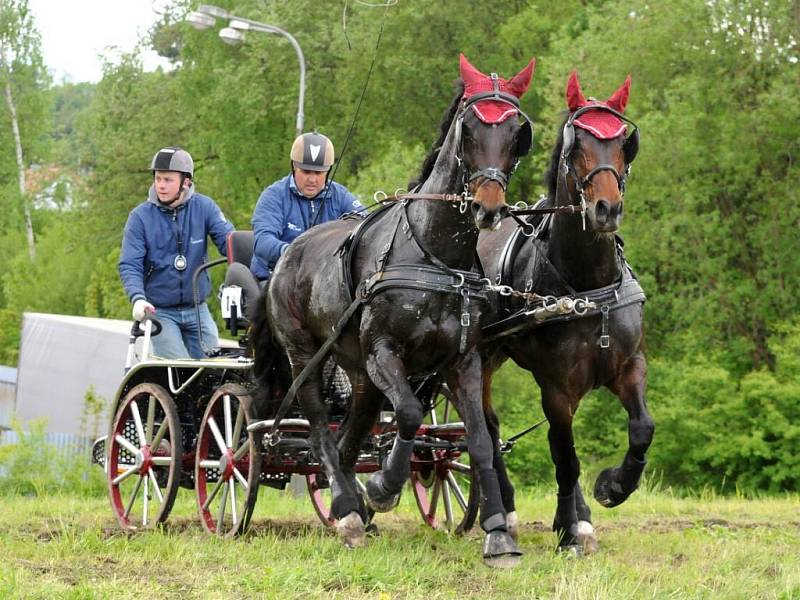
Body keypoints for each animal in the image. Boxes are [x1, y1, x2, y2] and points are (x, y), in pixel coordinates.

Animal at [250, 52, 536, 568]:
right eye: (468, 127)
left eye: (516, 131)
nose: (487, 206)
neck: (434, 253)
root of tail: (286, 255)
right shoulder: (385, 351)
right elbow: (406, 413)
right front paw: (383, 486)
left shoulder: (462, 360)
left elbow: (479, 438)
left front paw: (498, 531)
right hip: (307, 356)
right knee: (320, 427)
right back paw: (348, 509)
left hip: (359, 373)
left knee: (348, 440)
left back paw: (350, 505)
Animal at [478, 72, 652, 556]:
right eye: (577, 144)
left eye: (624, 143)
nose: (606, 209)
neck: (587, 284)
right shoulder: (556, 387)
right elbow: (566, 457)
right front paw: (569, 531)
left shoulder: (629, 366)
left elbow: (641, 429)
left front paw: (611, 488)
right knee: (487, 426)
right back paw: (504, 511)